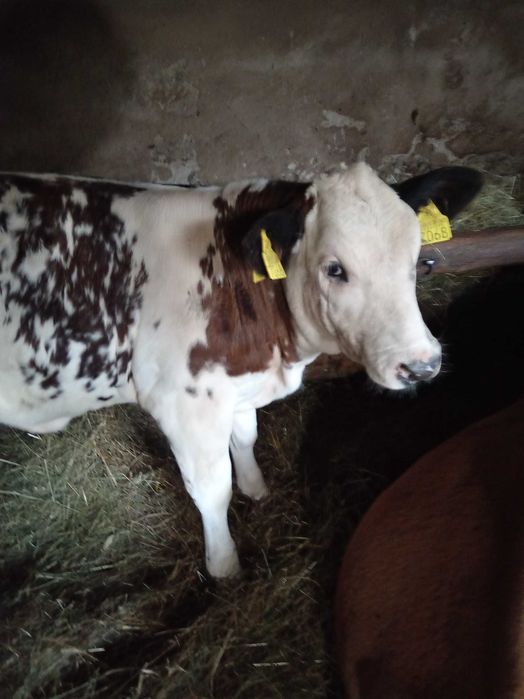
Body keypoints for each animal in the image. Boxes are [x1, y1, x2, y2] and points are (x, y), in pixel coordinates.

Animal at [0, 163, 481, 577]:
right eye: (334, 269)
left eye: (418, 258)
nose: (421, 365)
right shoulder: (186, 402)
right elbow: (212, 489)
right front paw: (225, 566)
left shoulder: (235, 383)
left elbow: (245, 438)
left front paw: (257, 489)